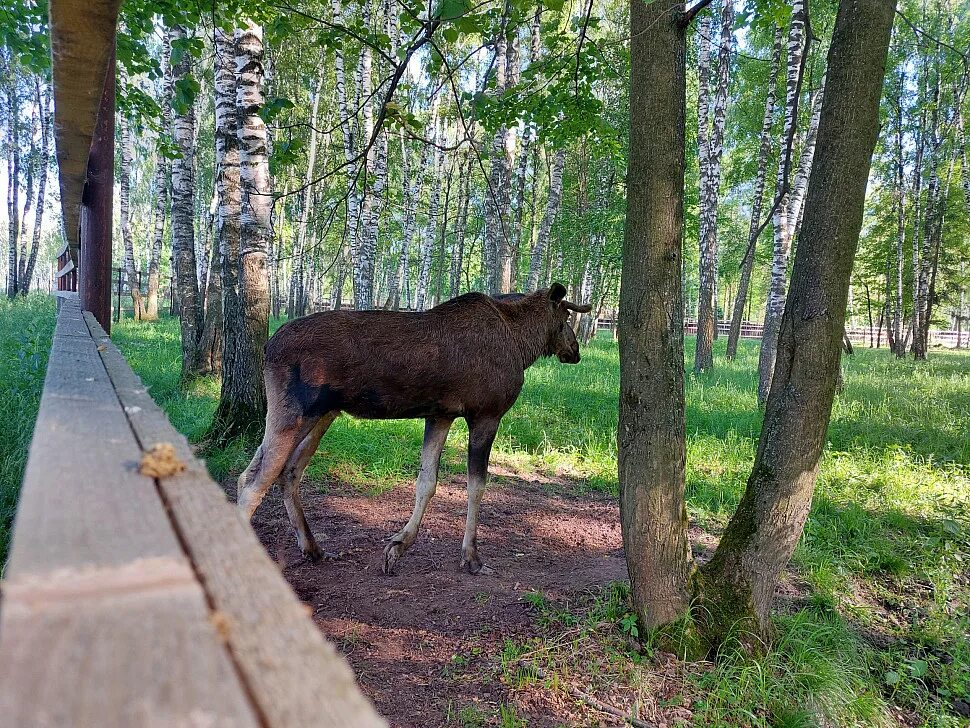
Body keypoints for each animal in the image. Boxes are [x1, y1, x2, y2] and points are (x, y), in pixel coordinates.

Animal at [238, 284, 592, 576]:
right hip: (294, 413)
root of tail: (268, 347)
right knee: (256, 481)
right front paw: (471, 556)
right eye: (566, 317)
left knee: (278, 472)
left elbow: (426, 482)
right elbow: (476, 487)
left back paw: (313, 548)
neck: (522, 345)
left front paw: (397, 547)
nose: (575, 351)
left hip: (320, 414)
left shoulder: (441, 415)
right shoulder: (486, 415)